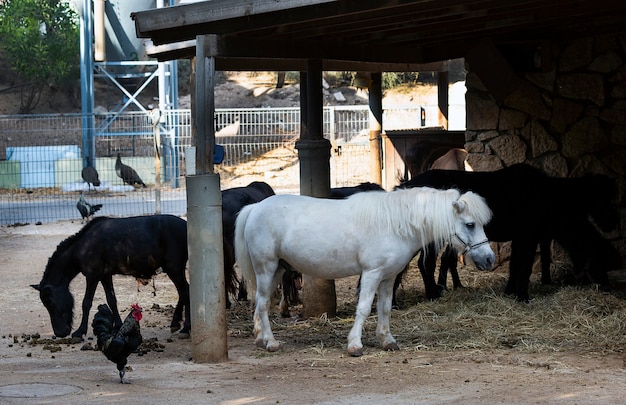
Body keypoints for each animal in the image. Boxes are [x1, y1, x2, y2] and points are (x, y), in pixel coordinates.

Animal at [32, 215, 188, 338]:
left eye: (51, 302)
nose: (59, 333)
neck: (83, 246)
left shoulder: (92, 276)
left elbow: (86, 303)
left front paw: (80, 331)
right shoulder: (105, 276)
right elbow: (112, 300)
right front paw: (118, 325)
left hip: (173, 268)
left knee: (185, 291)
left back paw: (186, 328)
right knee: (183, 292)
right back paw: (176, 323)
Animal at [233, 185, 492, 354]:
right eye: (470, 224)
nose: (489, 259)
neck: (396, 224)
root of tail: (255, 208)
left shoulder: (388, 276)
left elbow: (384, 308)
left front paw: (387, 341)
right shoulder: (372, 273)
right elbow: (365, 308)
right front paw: (355, 345)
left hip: (277, 269)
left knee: (262, 302)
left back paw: (260, 339)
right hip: (266, 268)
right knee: (263, 304)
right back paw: (271, 343)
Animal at [400, 163, 620, 300]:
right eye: (599, 258)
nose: (607, 287)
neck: (546, 194)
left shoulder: (523, 238)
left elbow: (516, 265)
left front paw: (510, 293)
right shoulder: (529, 237)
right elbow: (525, 266)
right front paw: (522, 296)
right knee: (426, 264)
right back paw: (433, 295)